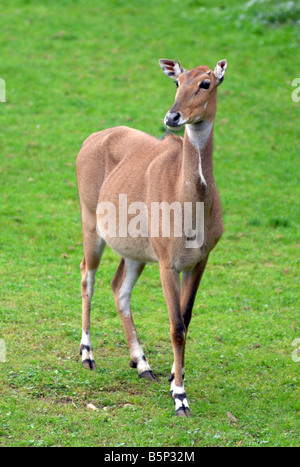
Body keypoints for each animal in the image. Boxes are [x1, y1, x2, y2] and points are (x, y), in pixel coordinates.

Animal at [76, 57, 226, 416]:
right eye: (177, 82)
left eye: (206, 83)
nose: (173, 117)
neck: (191, 203)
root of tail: (90, 140)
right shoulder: (167, 264)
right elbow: (176, 327)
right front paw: (180, 397)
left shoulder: (199, 261)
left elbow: (186, 317)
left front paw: (173, 375)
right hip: (90, 224)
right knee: (87, 276)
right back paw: (87, 354)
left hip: (135, 253)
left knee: (119, 288)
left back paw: (142, 364)